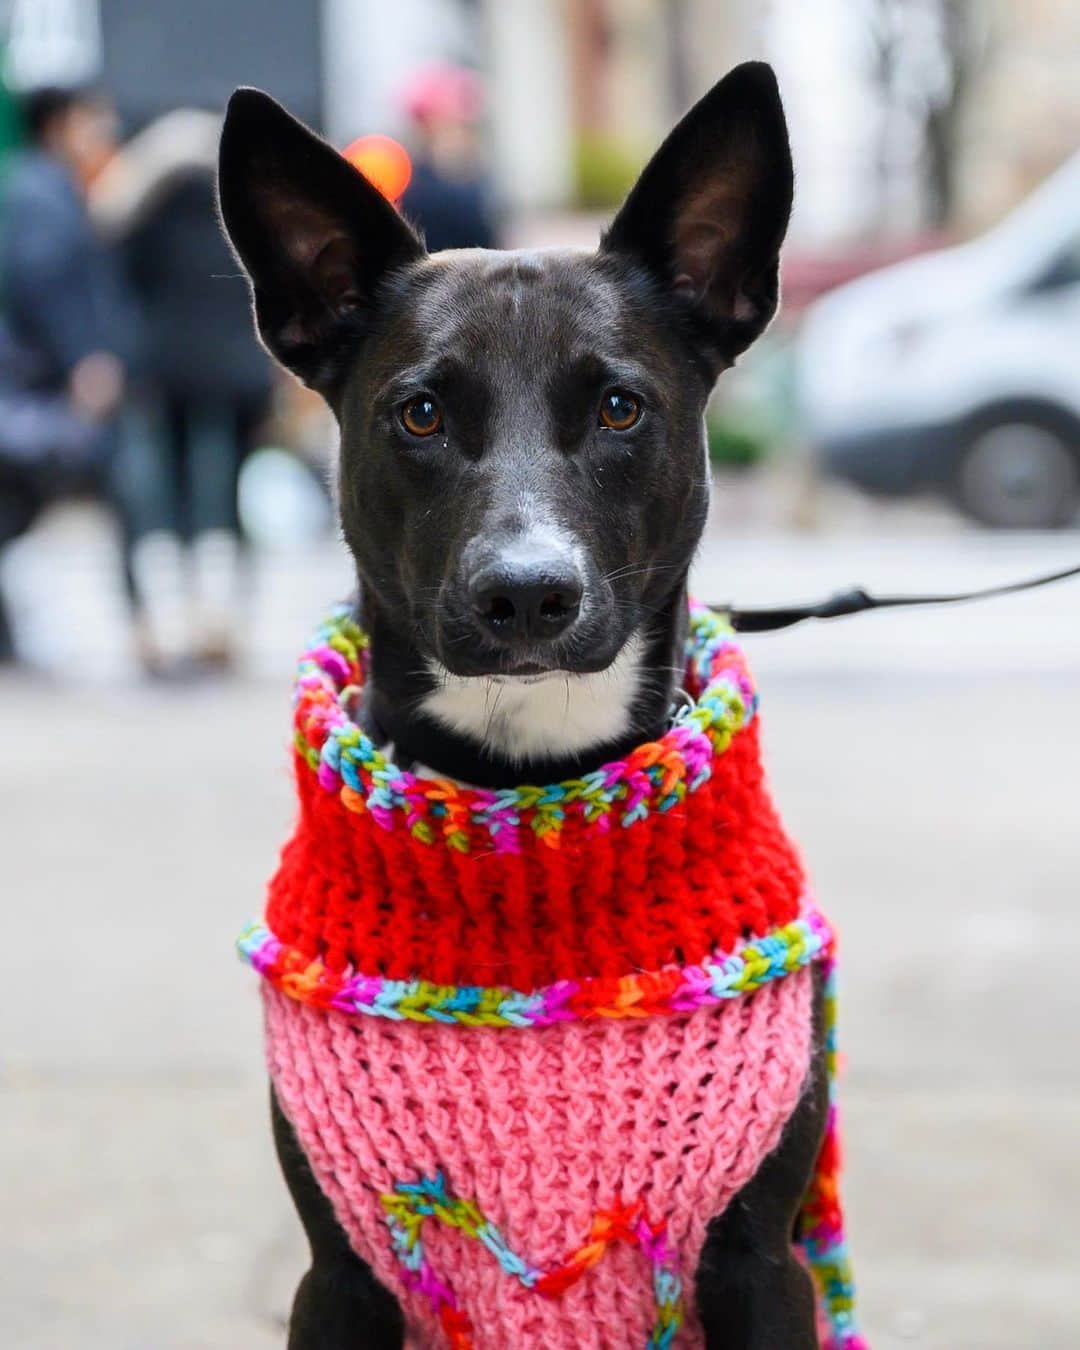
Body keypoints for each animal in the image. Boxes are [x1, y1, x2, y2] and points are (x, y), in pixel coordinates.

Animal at [218, 60, 837, 1350]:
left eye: (619, 408)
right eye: (419, 413)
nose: (527, 594)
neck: (529, 778)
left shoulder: (765, 1264)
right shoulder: (338, 1276)